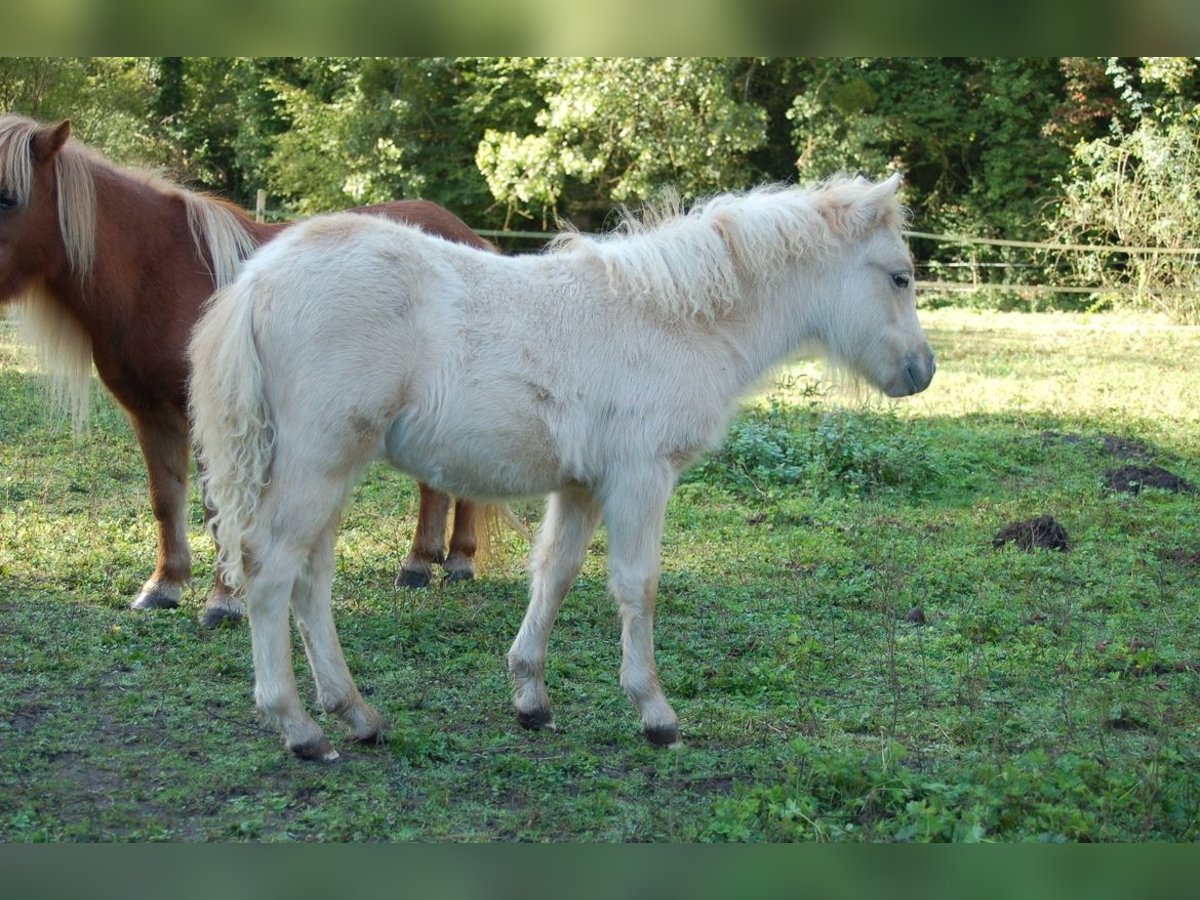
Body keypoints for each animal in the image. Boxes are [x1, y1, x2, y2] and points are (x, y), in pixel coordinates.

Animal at [1, 114, 487, 628]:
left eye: (8, 197)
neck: (160, 274)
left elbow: (219, 508)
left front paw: (224, 601)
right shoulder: (151, 415)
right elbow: (165, 500)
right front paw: (164, 586)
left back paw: (457, 560)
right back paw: (420, 564)